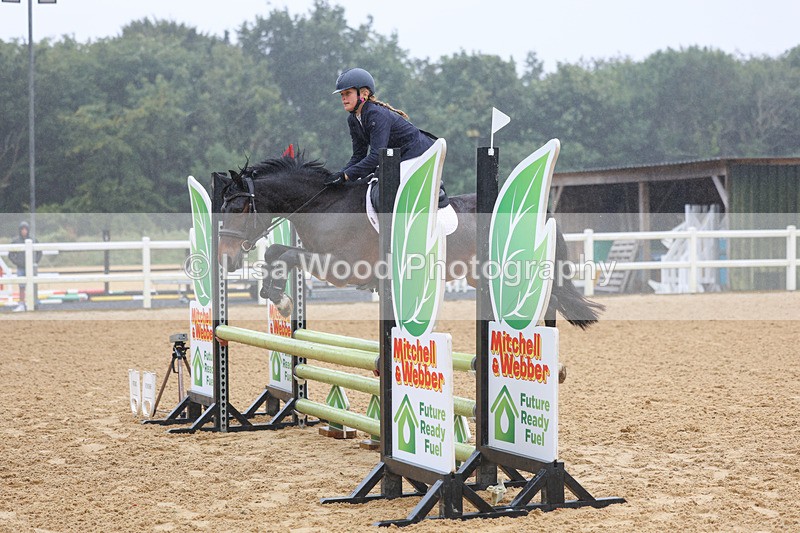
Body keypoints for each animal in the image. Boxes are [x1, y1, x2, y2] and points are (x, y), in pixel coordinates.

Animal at [216, 154, 604, 329]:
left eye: (239, 207)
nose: (226, 259)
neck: (325, 205)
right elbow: (276, 252)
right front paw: (276, 296)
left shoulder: (344, 267)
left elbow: (286, 254)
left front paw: (281, 301)